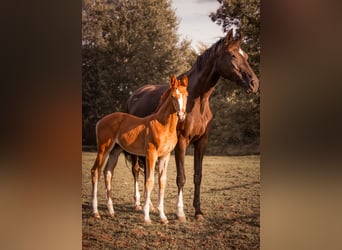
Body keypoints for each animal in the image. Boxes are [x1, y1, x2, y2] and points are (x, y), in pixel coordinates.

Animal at [91, 75, 188, 223]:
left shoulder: (164, 156)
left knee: (108, 172)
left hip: (115, 151)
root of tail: (100, 121)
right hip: (103, 148)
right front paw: (147, 217)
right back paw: (96, 212)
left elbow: (162, 182)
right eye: (173, 96)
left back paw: (112, 212)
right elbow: (149, 181)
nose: (182, 115)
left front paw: (163, 217)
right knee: (95, 171)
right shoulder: (151, 154)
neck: (163, 125)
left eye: (186, 95)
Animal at [126, 28, 260, 221]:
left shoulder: (201, 142)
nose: (254, 83)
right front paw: (180, 212)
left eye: (247, 56)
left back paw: (149, 205)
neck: (196, 101)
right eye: (233, 55)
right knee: (136, 170)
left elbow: (198, 176)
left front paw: (198, 211)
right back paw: (138, 204)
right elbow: (181, 177)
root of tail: (134, 95)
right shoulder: (181, 142)